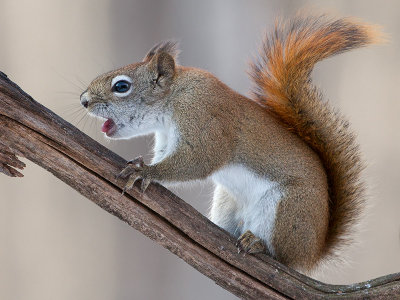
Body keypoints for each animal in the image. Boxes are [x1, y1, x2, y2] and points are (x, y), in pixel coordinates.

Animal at [79, 14, 382, 272]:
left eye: (121, 86)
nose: (83, 100)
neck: (174, 98)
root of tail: (313, 252)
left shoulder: (205, 120)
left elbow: (197, 161)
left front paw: (147, 172)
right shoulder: (166, 138)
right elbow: (166, 155)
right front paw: (143, 163)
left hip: (287, 210)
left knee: (282, 257)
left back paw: (259, 245)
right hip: (227, 204)